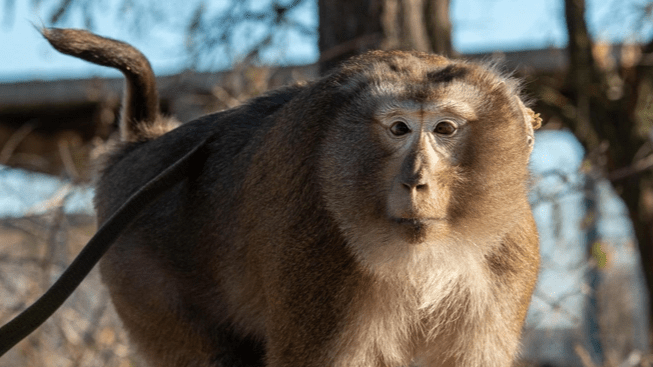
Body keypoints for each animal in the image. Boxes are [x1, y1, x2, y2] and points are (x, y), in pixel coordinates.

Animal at [1, 28, 540, 367]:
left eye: (445, 130)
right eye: (399, 129)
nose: (416, 181)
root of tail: (140, 147)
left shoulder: (506, 259)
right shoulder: (318, 252)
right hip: (139, 278)